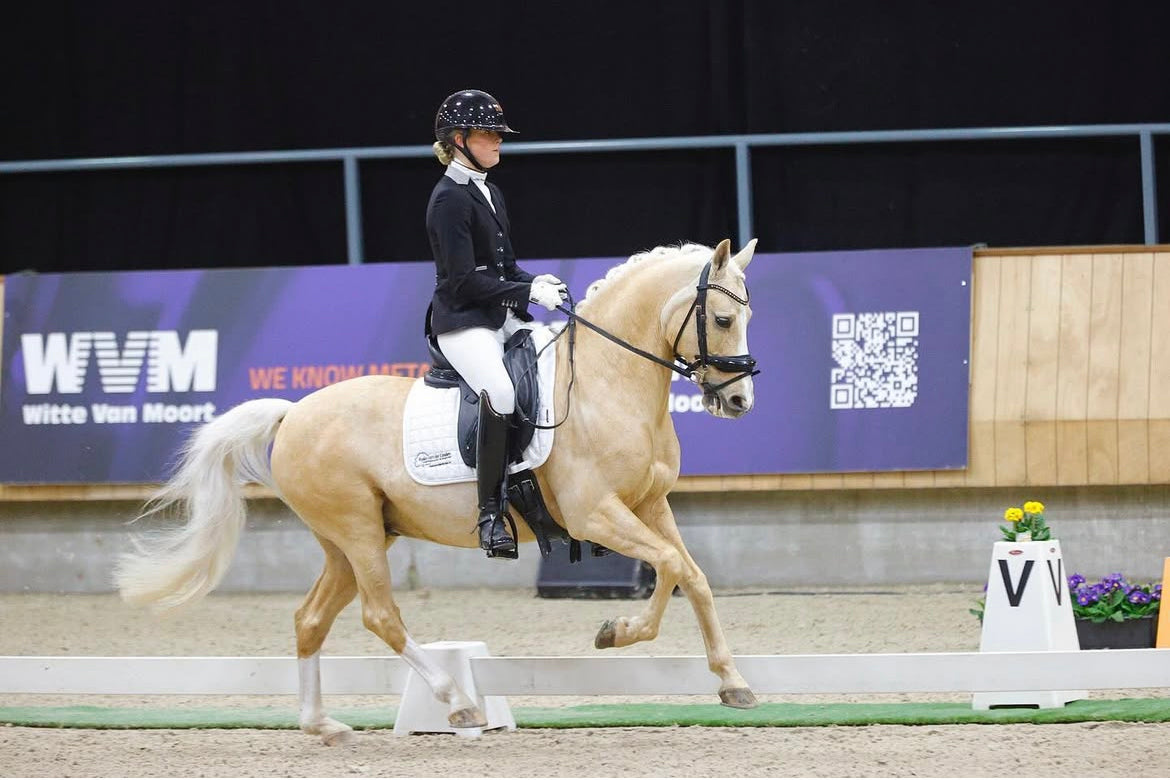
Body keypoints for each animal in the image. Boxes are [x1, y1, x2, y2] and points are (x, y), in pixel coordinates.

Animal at [115, 238, 761, 744]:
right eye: (723, 320)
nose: (738, 401)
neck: (607, 381)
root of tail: (292, 413)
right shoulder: (594, 514)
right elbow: (670, 566)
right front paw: (616, 633)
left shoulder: (649, 505)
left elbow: (690, 574)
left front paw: (732, 683)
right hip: (356, 531)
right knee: (381, 616)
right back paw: (457, 703)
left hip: (352, 540)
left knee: (310, 618)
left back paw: (322, 724)